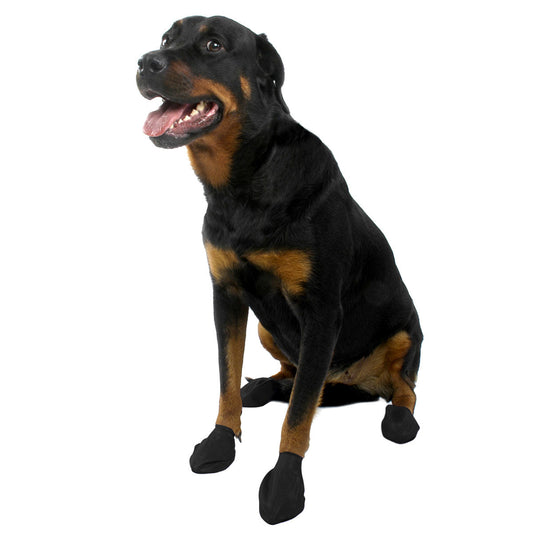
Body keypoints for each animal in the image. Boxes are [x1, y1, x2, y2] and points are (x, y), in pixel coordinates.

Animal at [137, 15, 422, 525]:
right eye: (168, 39)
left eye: (214, 45)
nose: (145, 61)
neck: (244, 182)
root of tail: (351, 381)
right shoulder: (226, 295)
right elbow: (226, 378)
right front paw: (221, 440)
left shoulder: (321, 311)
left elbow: (299, 415)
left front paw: (285, 485)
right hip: (269, 329)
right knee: (298, 373)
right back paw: (269, 387)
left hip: (406, 332)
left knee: (400, 386)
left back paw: (398, 417)